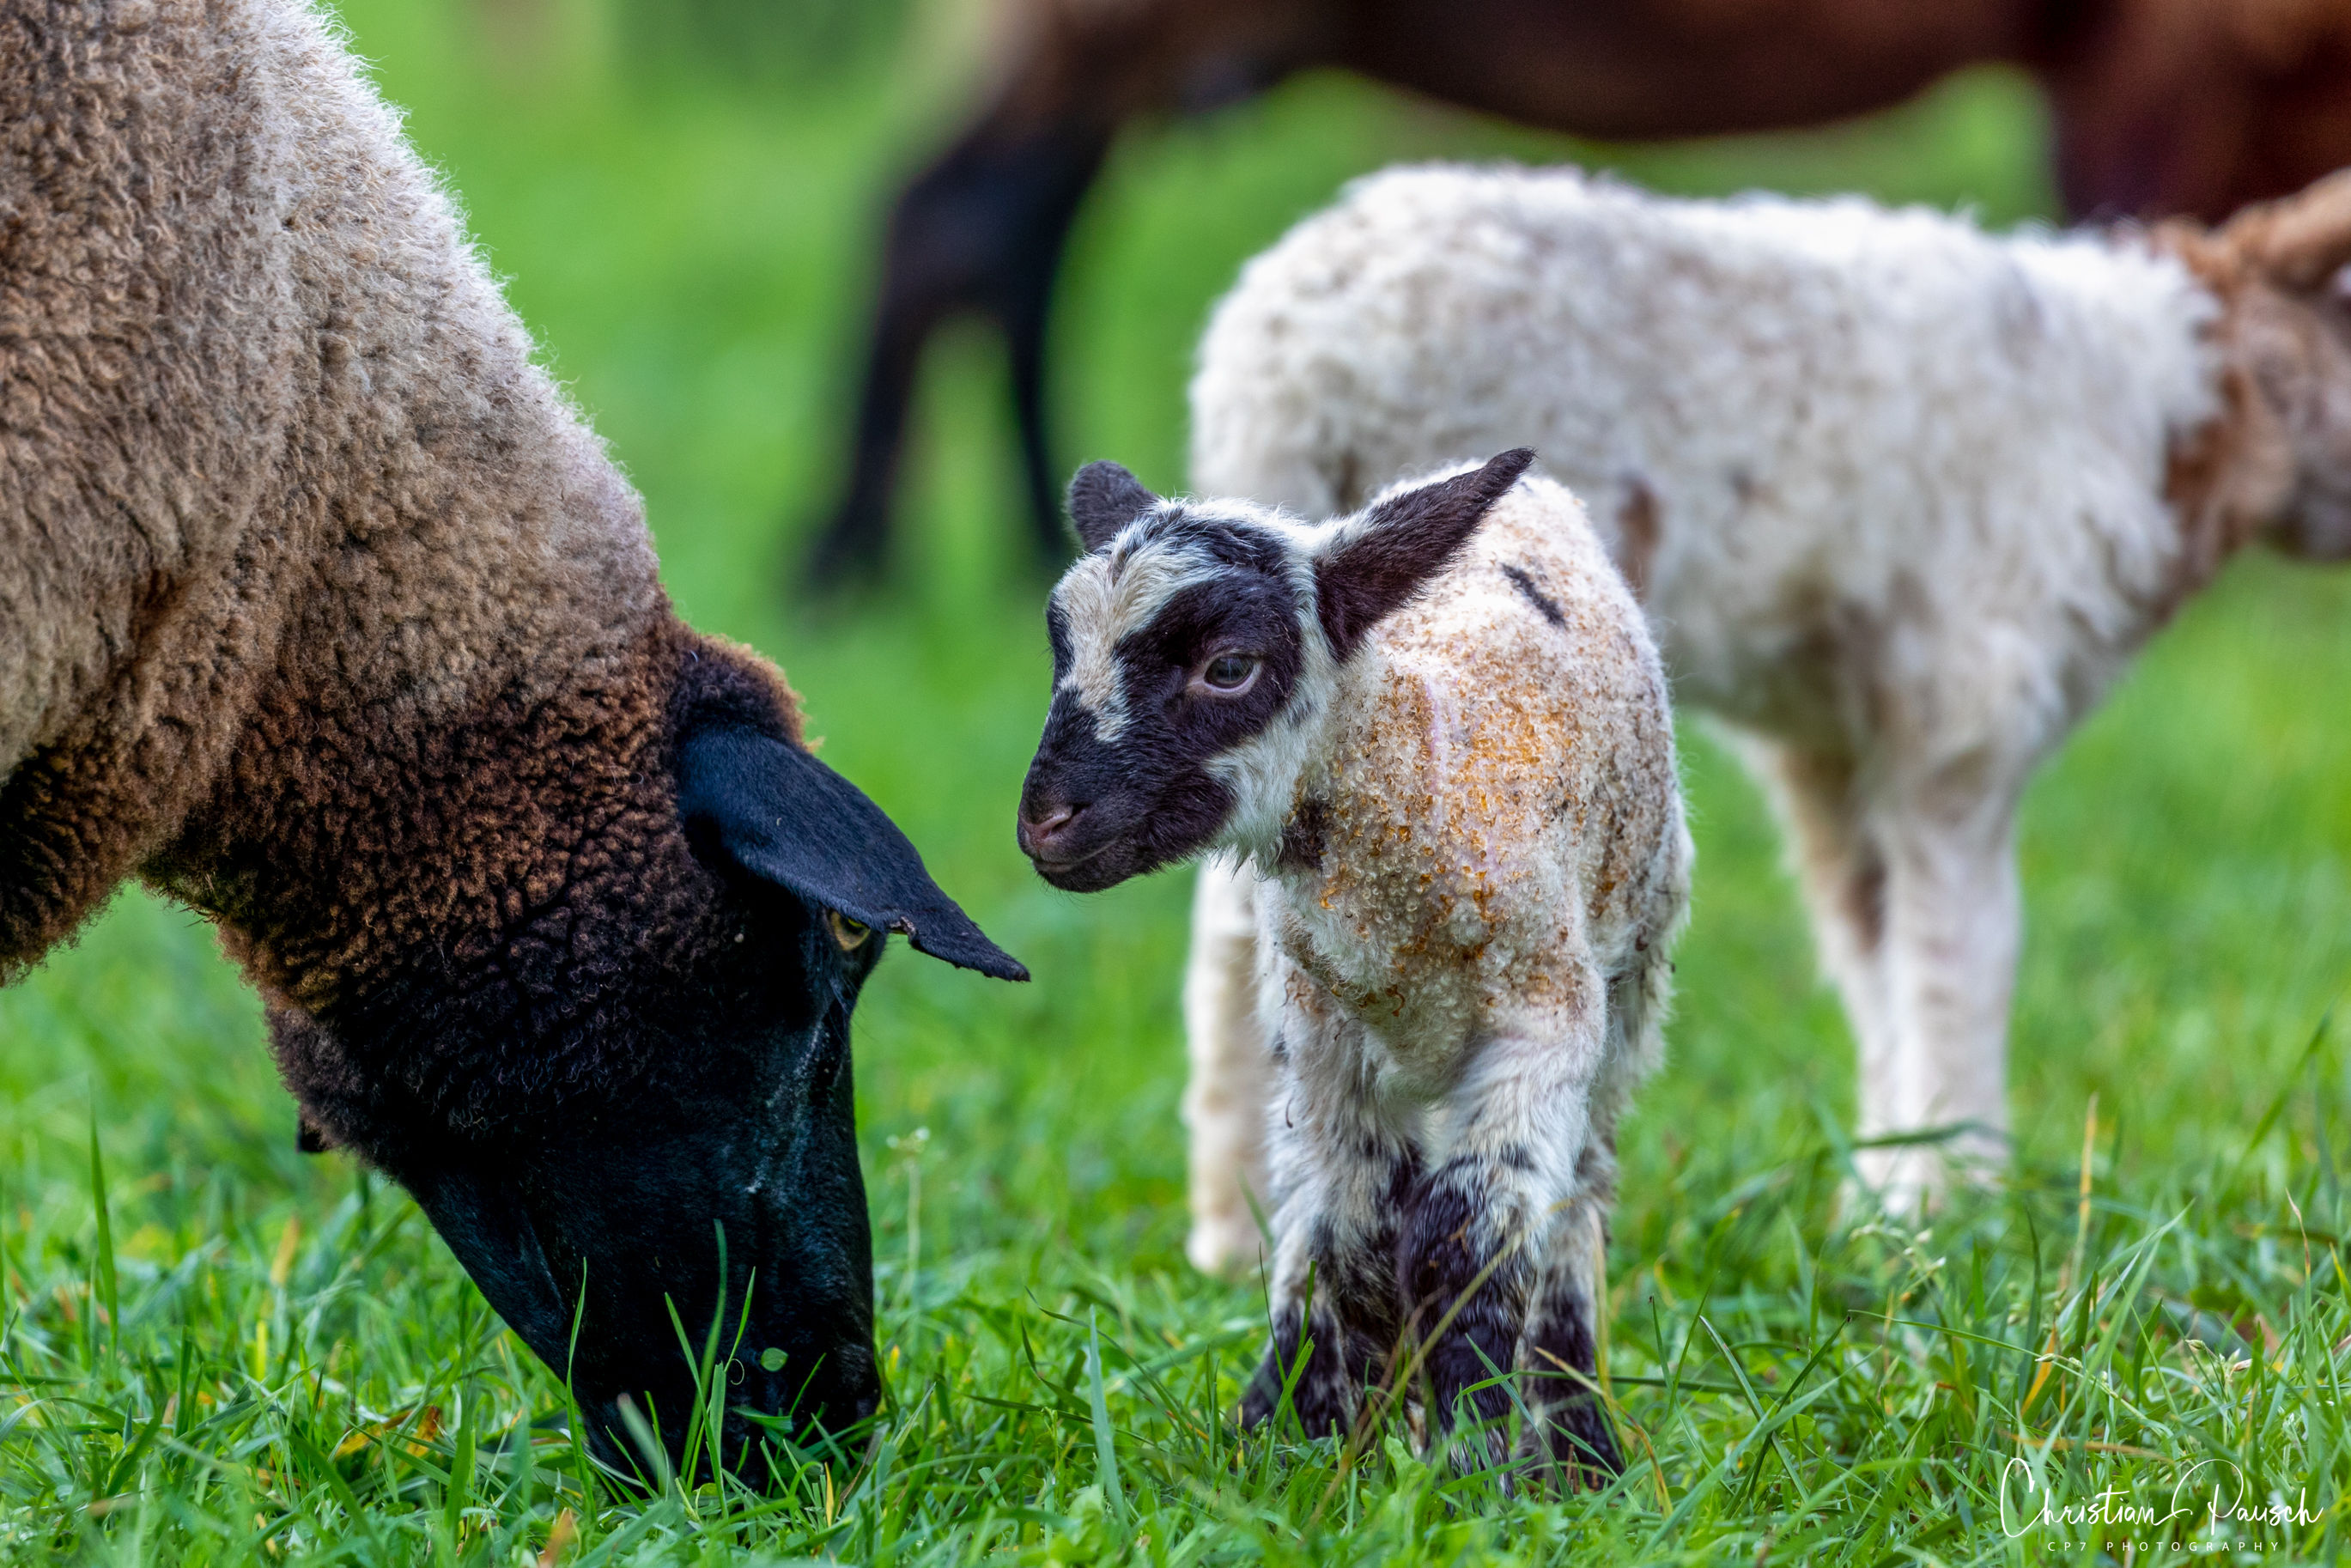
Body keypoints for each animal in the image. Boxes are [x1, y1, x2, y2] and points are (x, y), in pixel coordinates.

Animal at [1017, 450, 1690, 1476]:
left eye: (1229, 667)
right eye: (1060, 654)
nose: (1046, 824)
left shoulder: (1540, 1018)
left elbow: (1462, 1239)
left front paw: (1480, 1461)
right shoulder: (1327, 1038)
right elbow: (1355, 1233)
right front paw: (1315, 1445)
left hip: (1631, 984)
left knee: (1578, 1198)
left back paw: (1579, 1438)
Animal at [1177, 160, 2351, 1254]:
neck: (2173, 415)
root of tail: (1283, 357)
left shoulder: (1831, 742)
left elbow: (1872, 946)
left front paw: (1886, 1191)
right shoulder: (1962, 702)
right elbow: (1962, 953)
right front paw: (1955, 1201)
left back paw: (1239, 1228)